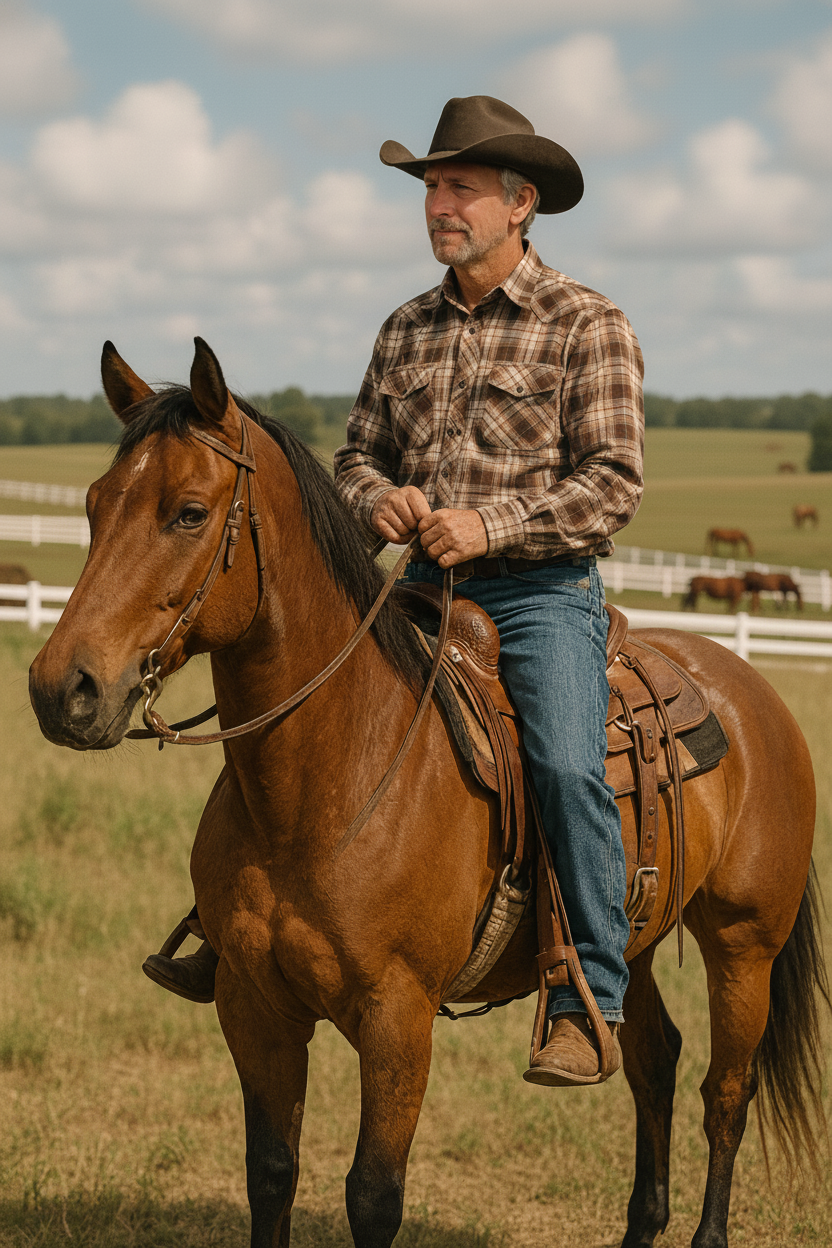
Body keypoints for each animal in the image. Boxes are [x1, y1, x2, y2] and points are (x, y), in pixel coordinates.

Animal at [29, 341, 828, 1248]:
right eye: (93, 506)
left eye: (190, 513)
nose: (64, 689)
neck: (330, 786)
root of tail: (749, 688)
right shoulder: (253, 1004)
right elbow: (271, 1174)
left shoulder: (397, 1017)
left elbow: (374, 1196)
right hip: (636, 944)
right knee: (652, 1061)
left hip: (744, 946)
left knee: (725, 1094)